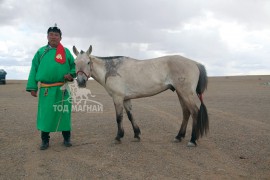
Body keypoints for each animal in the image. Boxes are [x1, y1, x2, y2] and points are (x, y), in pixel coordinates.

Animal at [72, 44, 209, 146]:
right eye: (74, 62)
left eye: (88, 62)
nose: (81, 82)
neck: (110, 70)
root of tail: (195, 63)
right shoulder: (126, 99)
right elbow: (130, 116)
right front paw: (136, 135)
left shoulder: (118, 98)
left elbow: (119, 117)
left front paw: (118, 137)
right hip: (181, 93)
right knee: (186, 113)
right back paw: (179, 136)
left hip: (186, 93)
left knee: (194, 112)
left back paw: (192, 140)